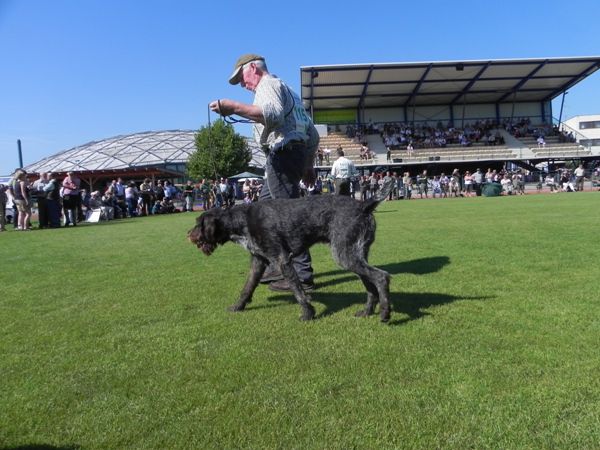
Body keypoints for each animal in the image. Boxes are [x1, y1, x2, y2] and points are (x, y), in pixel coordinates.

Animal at [189, 181, 394, 322]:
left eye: (198, 224)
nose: (188, 234)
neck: (242, 220)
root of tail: (363, 205)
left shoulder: (282, 260)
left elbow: (297, 290)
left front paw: (308, 313)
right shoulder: (258, 261)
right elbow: (247, 287)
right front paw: (238, 306)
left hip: (345, 255)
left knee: (381, 277)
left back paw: (385, 313)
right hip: (355, 255)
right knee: (370, 285)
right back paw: (367, 311)